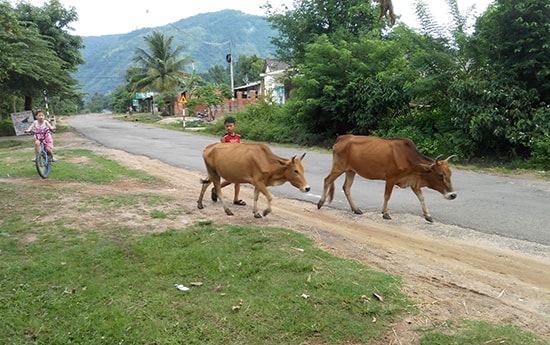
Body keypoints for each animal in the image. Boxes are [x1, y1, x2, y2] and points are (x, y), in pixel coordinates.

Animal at [316, 133, 460, 222]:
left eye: (450, 174)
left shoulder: (413, 183)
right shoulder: (391, 178)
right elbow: (387, 196)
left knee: (346, 188)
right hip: (339, 168)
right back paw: (320, 203)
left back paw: (356, 209)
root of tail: (342, 138)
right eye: (441, 175)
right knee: (327, 180)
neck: (410, 159)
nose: (453, 195)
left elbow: (422, 198)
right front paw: (385, 213)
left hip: (351, 171)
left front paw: (428, 215)